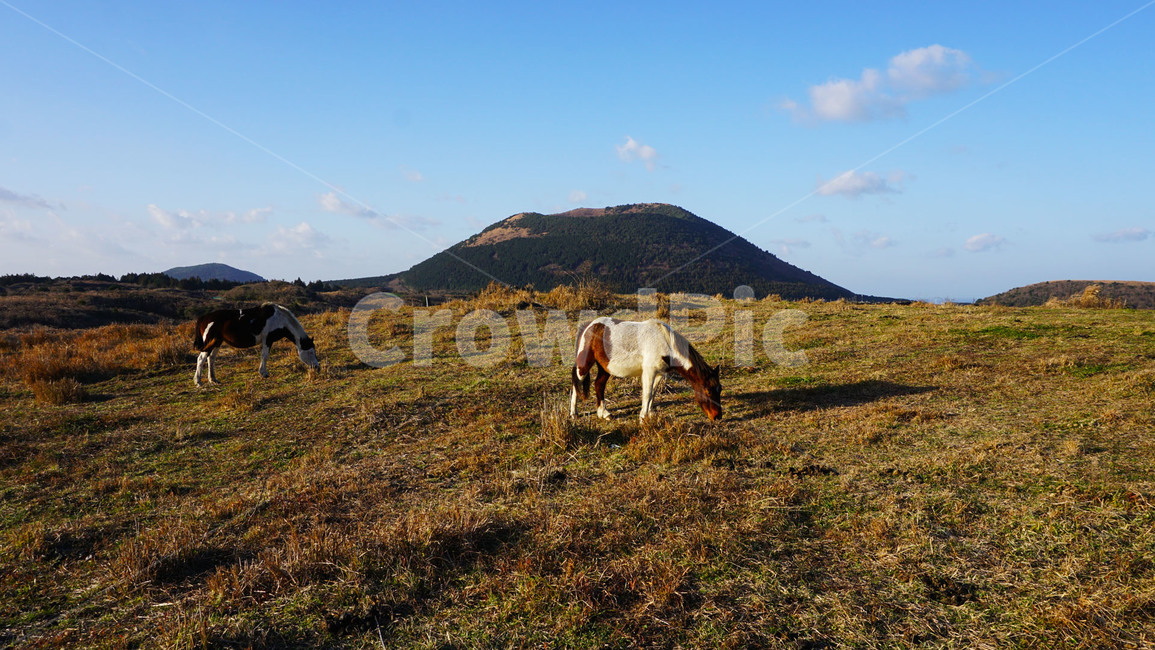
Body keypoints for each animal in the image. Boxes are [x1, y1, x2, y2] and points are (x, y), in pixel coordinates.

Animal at [570, 317, 722, 421]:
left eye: (719, 389)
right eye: (708, 390)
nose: (717, 416)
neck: (665, 343)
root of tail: (589, 326)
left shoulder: (659, 373)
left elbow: (652, 394)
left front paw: (648, 414)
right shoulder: (649, 372)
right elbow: (647, 394)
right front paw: (643, 418)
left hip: (605, 367)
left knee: (599, 385)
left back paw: (604, 413)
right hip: (585, 365)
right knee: (576, 383)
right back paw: (573, 413)